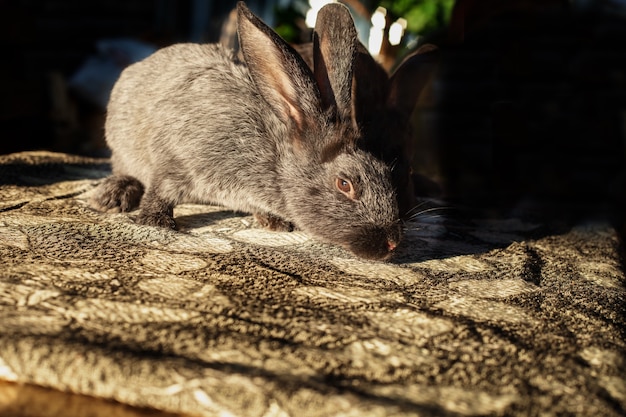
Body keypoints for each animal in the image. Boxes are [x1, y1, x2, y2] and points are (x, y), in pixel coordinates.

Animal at [91, 0, 400, 260]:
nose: (393, 243)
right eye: (344, 184)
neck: (273, 158)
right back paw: (115, 194)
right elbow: (162, 189)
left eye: (386, 171)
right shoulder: (177, 158)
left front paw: (273, 221)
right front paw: (156, 221)